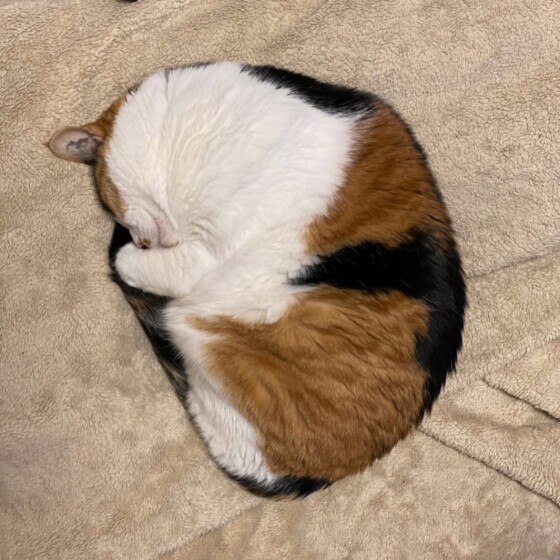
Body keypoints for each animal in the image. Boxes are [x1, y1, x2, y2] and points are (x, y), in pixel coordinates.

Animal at [49, 62, 466, 497]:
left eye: (116, 211)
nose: (147, 241)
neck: (194, 126)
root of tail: (303, 478)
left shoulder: (200, 255)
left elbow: (133, 263)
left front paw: (131, 256)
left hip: (204, 332)